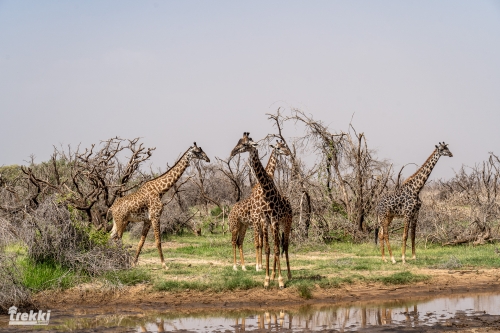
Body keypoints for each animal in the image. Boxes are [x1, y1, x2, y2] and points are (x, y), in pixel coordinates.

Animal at [230, 131, 292, 286]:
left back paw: (288, 275)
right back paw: (238, 266)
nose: (232, 152)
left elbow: (273, 248)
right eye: (278, 148)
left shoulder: (272, 220)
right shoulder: (263, 220)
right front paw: (266, 277)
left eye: (245, 144)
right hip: (239, 225)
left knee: (284, 245)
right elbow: (266, 247)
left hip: (286, 223)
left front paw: (279, 280)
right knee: (237, 241)